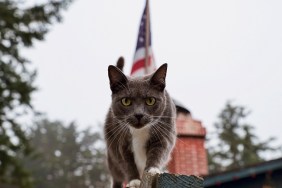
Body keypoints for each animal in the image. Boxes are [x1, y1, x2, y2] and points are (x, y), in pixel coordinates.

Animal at [104, 57, 177, 188]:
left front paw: (153, 169)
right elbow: (126, 161)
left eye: (150, 100)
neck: (139, 131)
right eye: (126, 101)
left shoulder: (164, 133)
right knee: (116, 176)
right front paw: (134, 181)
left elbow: (158, 151)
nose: (138, 115)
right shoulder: (121, 141)